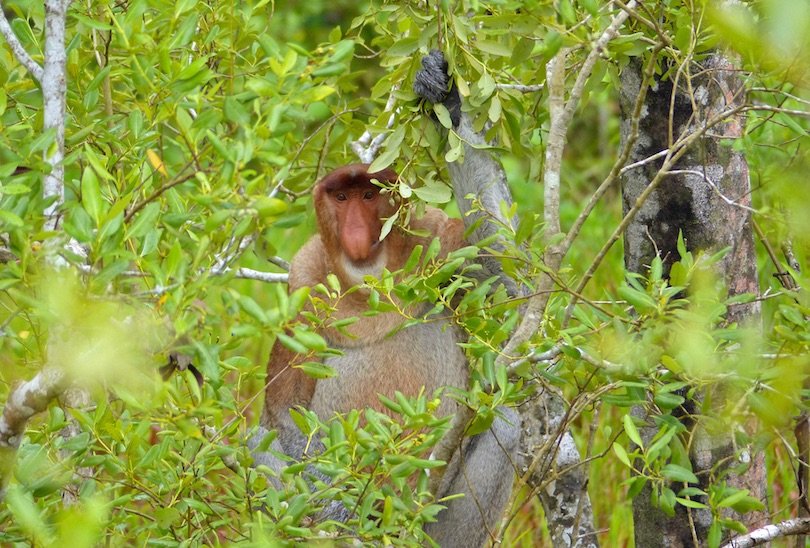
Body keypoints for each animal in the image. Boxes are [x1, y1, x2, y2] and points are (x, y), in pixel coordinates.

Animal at [251, 165, 516, 544]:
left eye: (368, 195)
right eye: (341, 198)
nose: (356, 234)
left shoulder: (443, 239)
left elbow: (508, 273)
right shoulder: (302, 284)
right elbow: (284, 410)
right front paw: (338, 506)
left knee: (506, 425)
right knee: (256, 439)